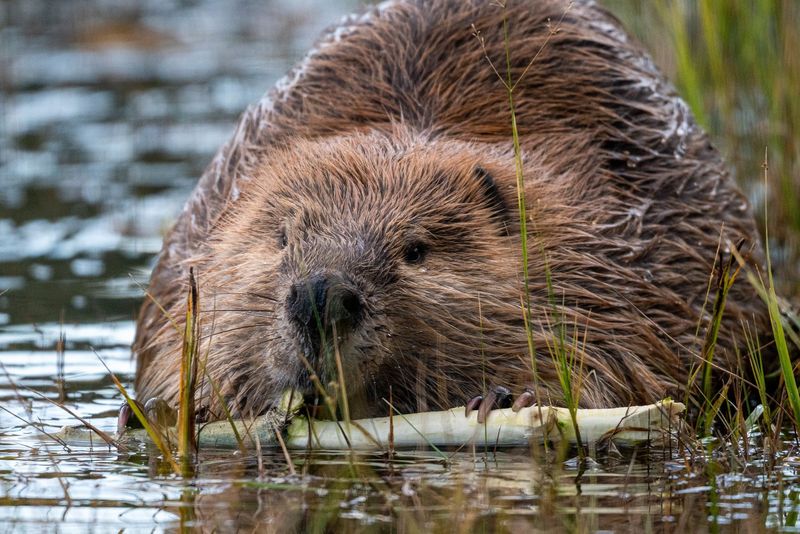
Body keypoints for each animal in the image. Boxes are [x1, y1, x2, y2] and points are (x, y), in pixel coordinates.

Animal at [131, 0, 776, 422]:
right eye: (283, 238)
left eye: (416, 250)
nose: (321, 296)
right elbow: (179, 346)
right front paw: (197, 408)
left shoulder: (626, 239)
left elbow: (626, 355)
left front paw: (509, 398)